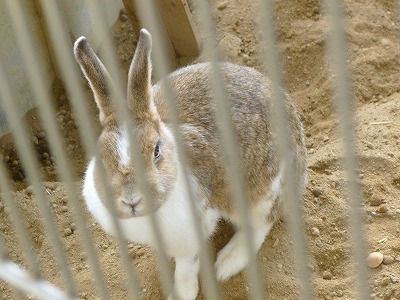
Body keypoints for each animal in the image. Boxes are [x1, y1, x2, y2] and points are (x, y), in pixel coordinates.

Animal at [73, 28, 308, 300]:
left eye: (156, 150)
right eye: (100, 157)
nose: (131, 199)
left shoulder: (193, 231)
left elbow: (187, 265)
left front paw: (181, 292)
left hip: (261, 194)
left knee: (260, 223)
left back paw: (227, 263)